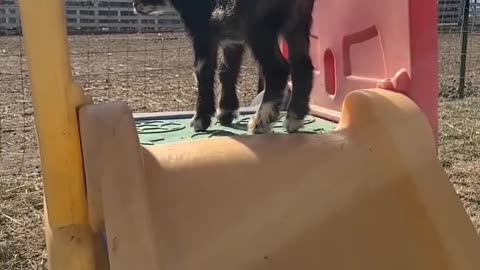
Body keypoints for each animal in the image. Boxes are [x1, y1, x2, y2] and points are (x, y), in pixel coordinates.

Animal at [134, 0, 316, 134]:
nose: (135, 5)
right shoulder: (232, 37)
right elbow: (227, 70)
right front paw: (226, 111)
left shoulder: (202, 30)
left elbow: (202, 70)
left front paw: (201, 119)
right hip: (298, 23)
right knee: (303, 66)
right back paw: (294, 118)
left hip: (259, 27)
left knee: (277, 68)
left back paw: (261, 121)